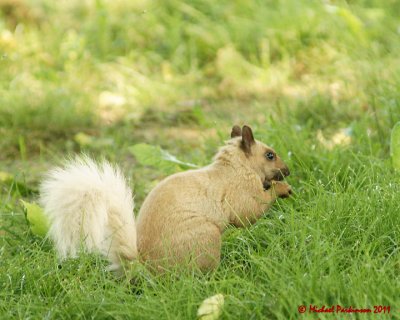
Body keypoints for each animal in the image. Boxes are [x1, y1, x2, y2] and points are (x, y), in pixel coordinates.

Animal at [39, 125, 290, 272]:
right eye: (270, 155)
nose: (287, 171)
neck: (235, 167)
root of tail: (145, 264)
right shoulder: (238, 192)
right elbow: (249, 213)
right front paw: (281, 188)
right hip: (205, 239)